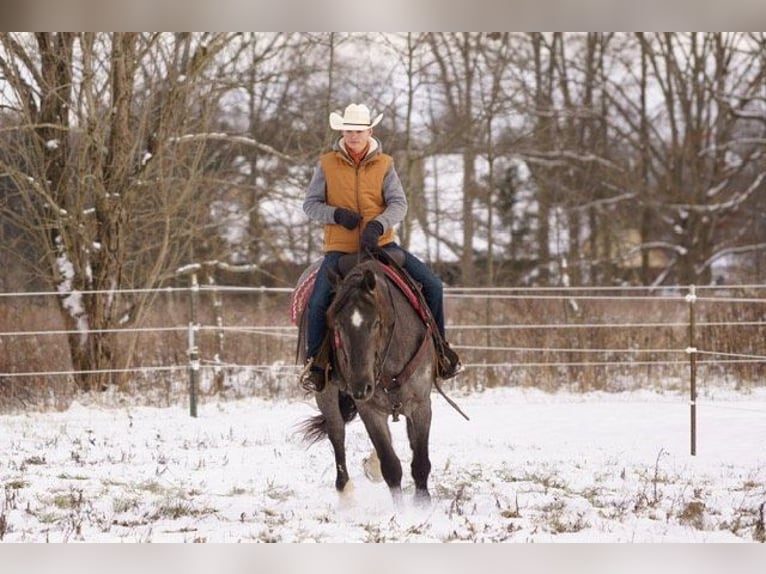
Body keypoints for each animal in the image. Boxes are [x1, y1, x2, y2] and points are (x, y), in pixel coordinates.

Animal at [297, 253, 436, 505]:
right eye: (336, 325)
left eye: (376, 323)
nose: (361, 386)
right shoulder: (369, 409)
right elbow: (391, 467)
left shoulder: (421, 403)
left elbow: (420, 461)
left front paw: (422, 506)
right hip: (326, 394)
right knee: (337, 433)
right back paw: (345, 494)